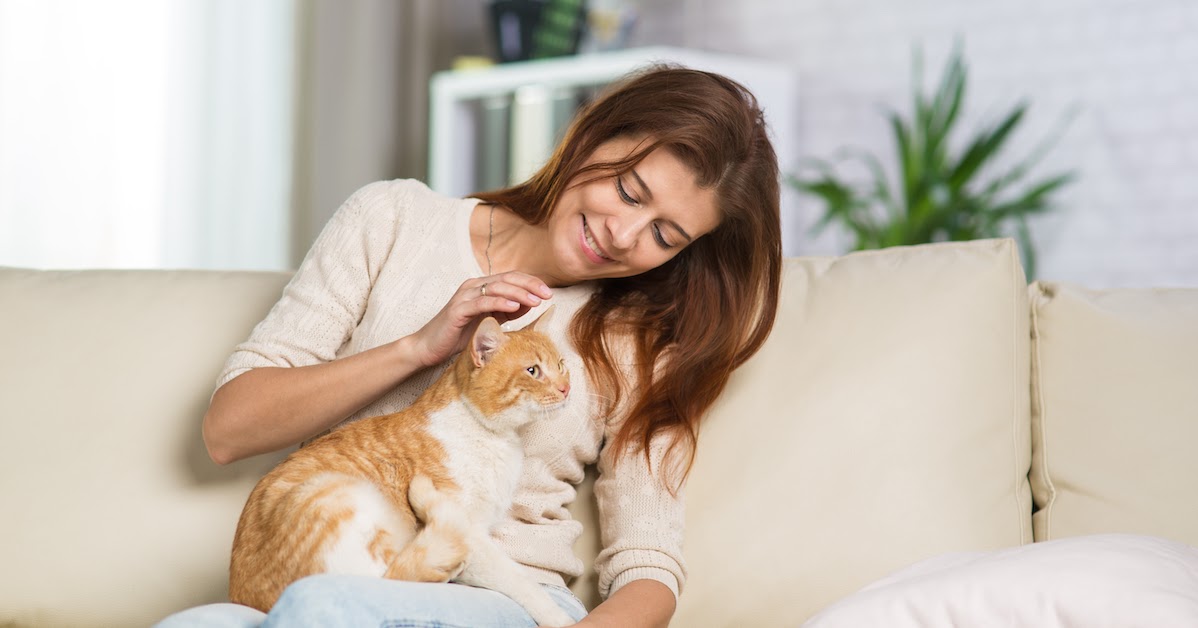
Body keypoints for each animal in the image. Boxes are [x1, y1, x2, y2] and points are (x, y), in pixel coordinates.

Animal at [231, 306, 577, 623]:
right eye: (532, 371)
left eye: (561, 365)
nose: (565, 388)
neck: (493, 437)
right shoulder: (475, 536)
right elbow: (522, 581)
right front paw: (558, 618)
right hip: (335, 495)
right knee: (395, 573)